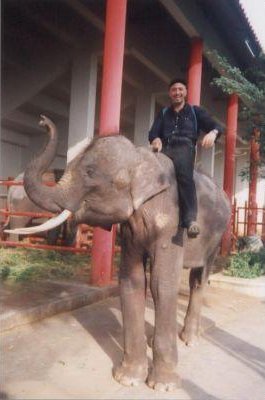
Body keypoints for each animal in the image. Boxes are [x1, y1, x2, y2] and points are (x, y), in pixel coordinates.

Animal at [6, 115, 229, 390]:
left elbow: (161, 283)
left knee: (198, 278)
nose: (42, 121)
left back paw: (190, 338)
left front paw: (162, 385)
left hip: (216, 237)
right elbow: (132, 281)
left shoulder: (172, 224)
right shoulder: (131, 229)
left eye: (90, 173)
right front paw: (128, 379)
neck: (141, 157)